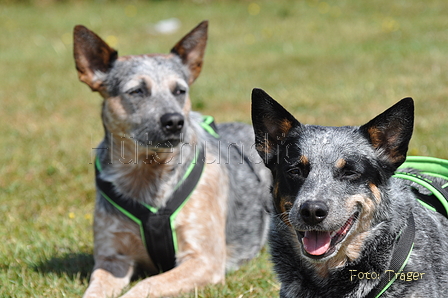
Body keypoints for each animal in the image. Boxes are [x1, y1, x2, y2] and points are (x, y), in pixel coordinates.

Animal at [72, 21, 272, 298]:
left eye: (180, 90)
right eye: (137, 91)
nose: (175, 121)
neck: (148, 172)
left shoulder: (204, 260)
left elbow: (147, 285)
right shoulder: (112, 258)